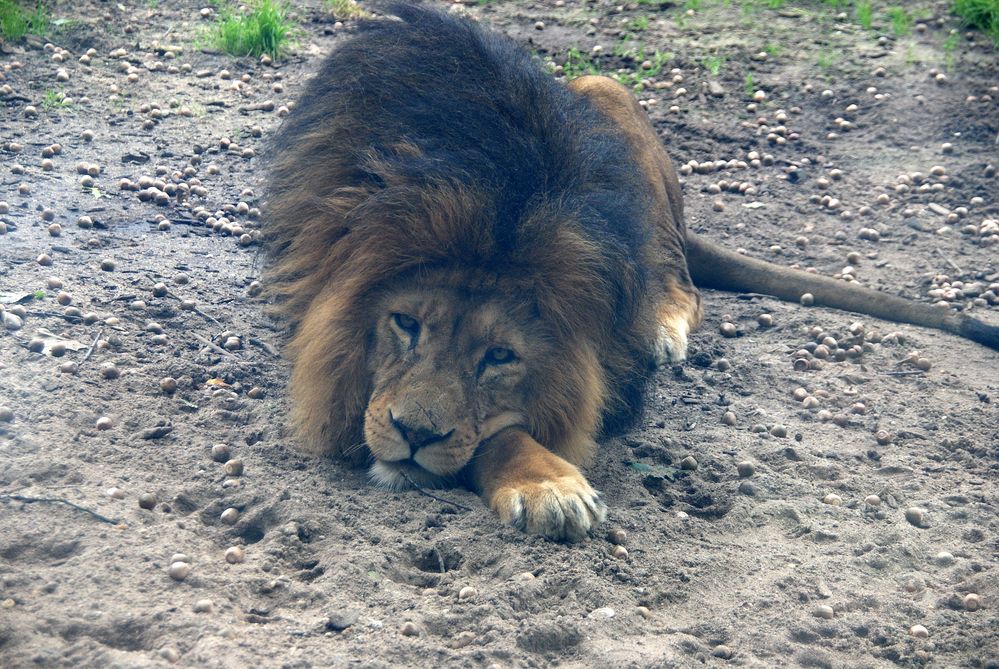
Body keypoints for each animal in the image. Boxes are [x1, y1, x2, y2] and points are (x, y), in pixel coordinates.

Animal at [266, 5, 999, 540]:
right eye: (405, 324)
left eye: (500, 355)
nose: (417, 434)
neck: (503, 201)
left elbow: (506, 428)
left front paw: (545, 480)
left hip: (607, 92)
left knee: (682, 280)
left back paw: (661, 328)